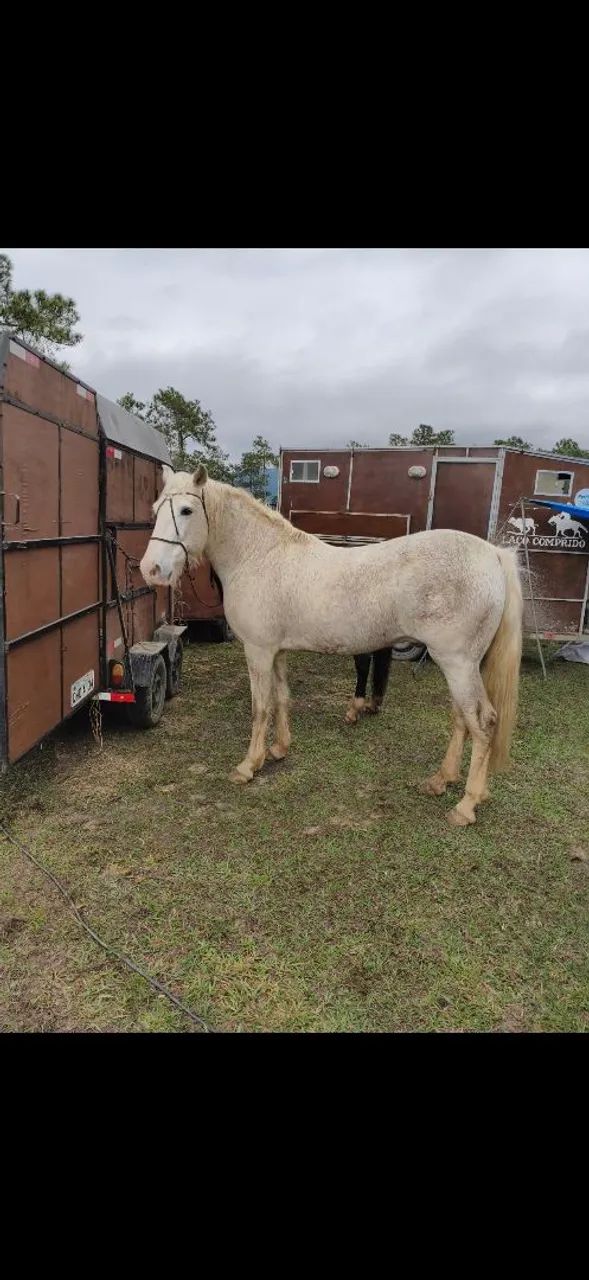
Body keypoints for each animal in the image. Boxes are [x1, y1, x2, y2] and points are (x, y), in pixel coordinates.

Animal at [140, 465, 523, 827]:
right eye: (157, 508)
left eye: (187, 510)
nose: (152, 569)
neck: (259, 555)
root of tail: (491, 554)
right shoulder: (277, 651)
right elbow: (282, 698)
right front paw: (279, 749)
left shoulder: (258, 651)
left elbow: (260, 707)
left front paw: (249, 765)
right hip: (461, 666)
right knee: (462, 719)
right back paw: (441, 780)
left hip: (457, 663)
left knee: (483, 723)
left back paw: (466, 805)